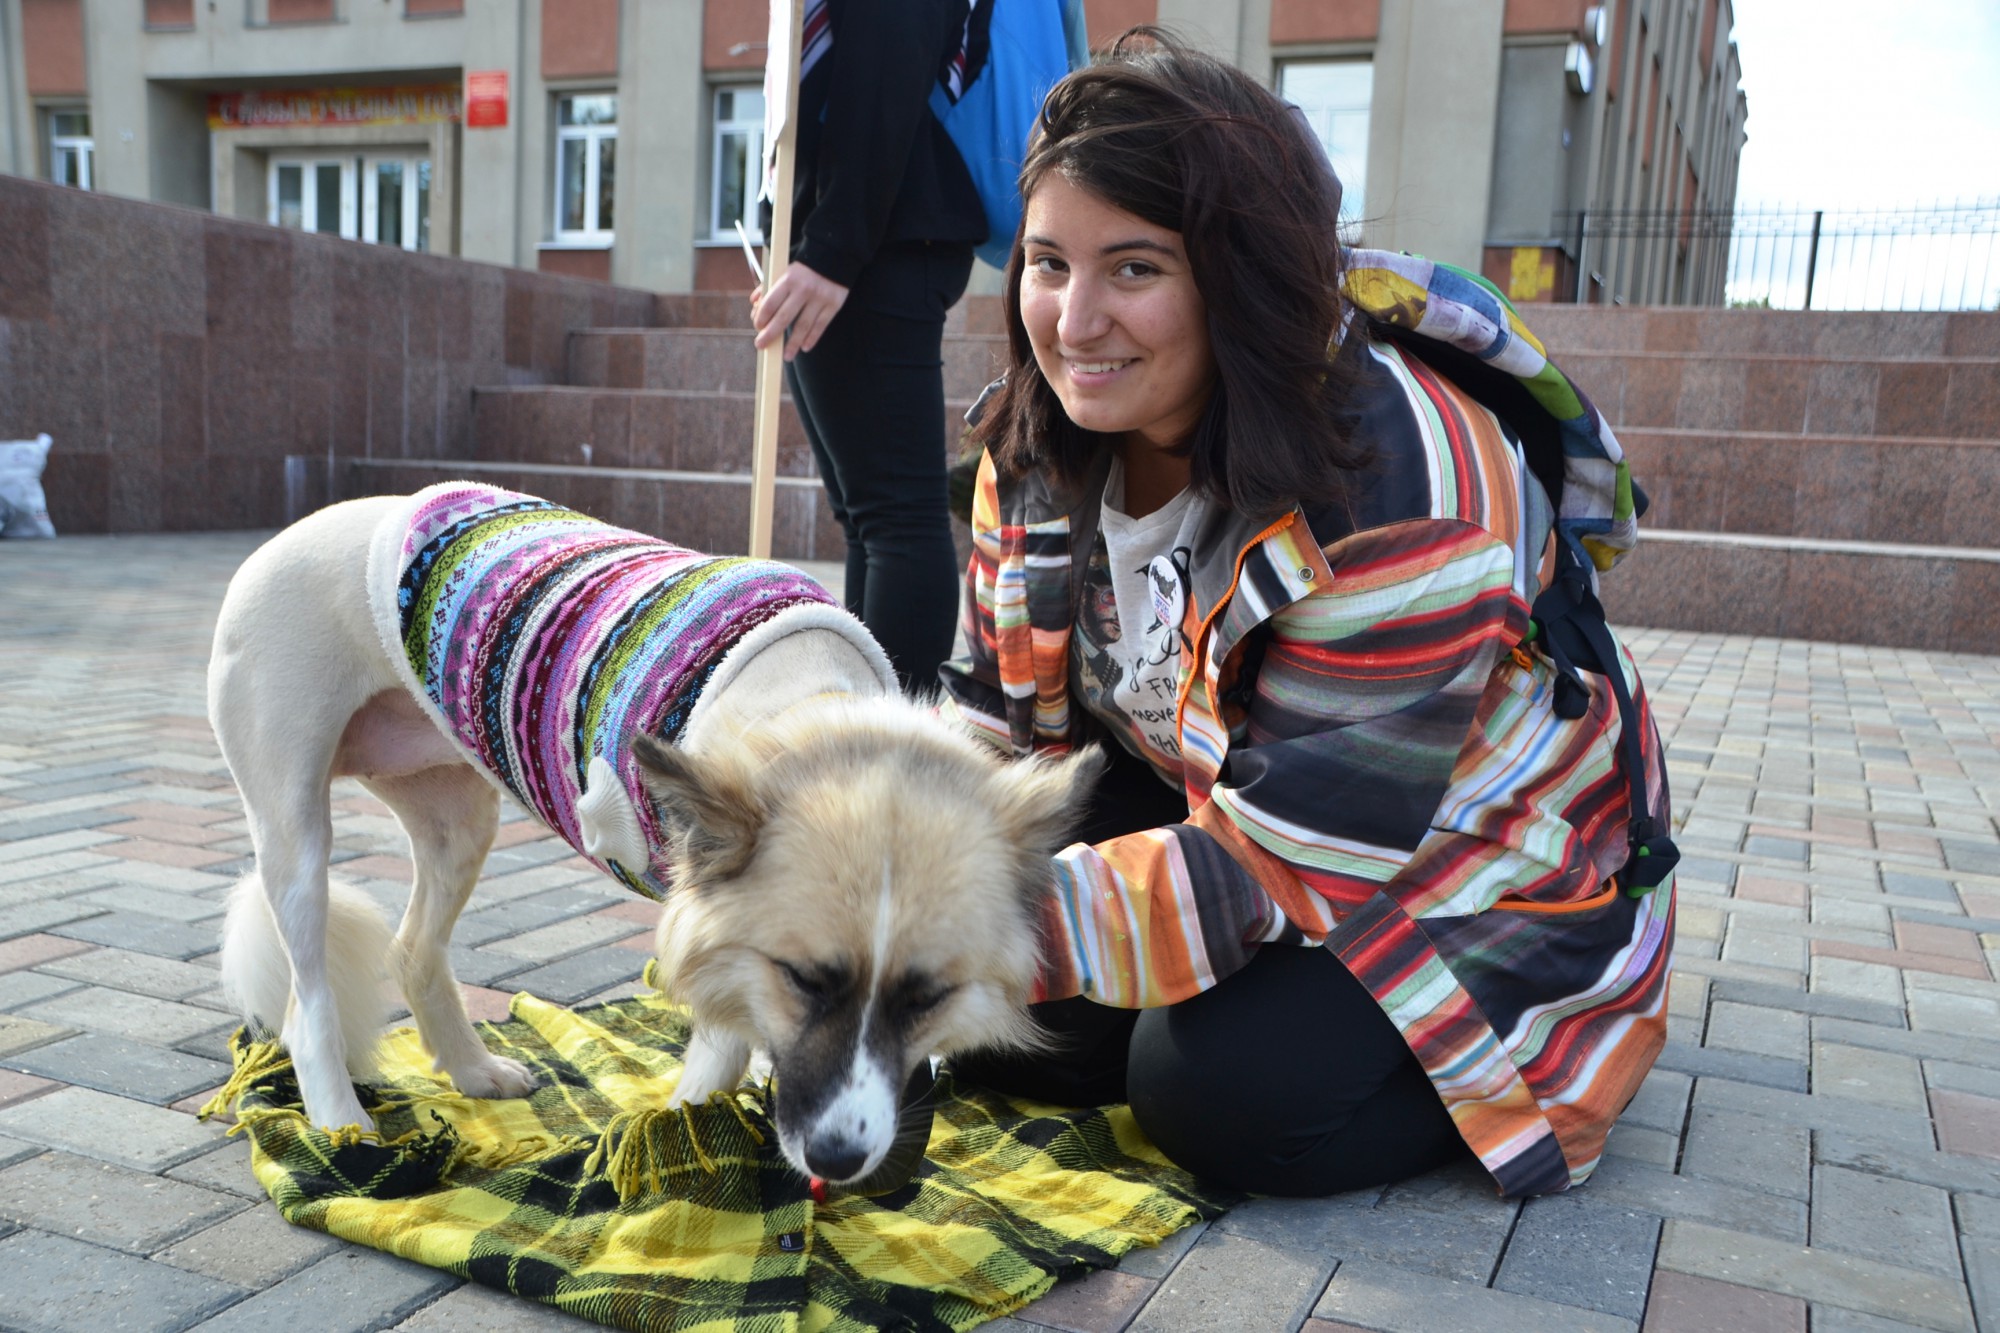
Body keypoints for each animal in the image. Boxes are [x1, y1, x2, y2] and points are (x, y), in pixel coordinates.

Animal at [211, 486, 1104, 1184]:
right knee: (309, 1004)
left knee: (412, 951)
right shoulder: (713, 925)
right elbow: (716, 1058)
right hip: (296, 834)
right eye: (802, 978)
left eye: (930, 997)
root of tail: (284, 536)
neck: (808, 715)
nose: (839, 1158)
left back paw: (469, 1068)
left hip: (459, 819)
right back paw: (340, 1117)